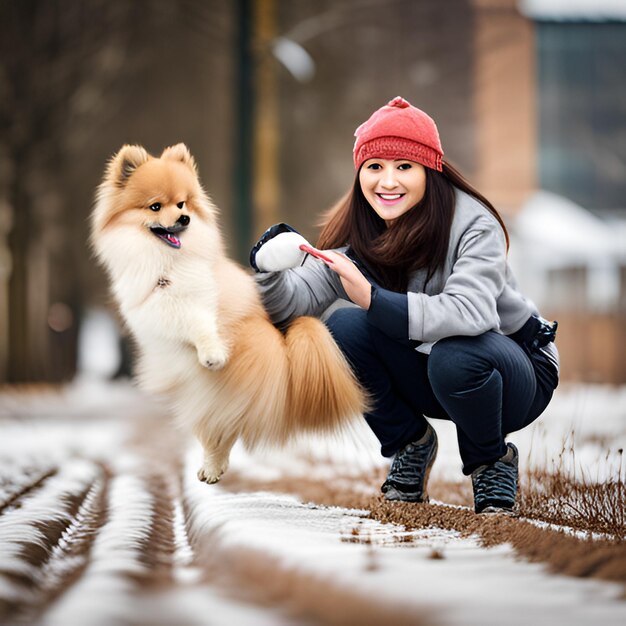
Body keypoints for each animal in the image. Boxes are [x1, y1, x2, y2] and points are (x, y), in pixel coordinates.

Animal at [92, 143, 366, 482]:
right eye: (155, 207)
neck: (166, 267)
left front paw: (213, 355)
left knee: (227, 422)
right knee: (216, 429)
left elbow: (202, 326)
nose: (184, 218)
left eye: (182, 203)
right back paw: (212, 466)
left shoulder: (203, 301)